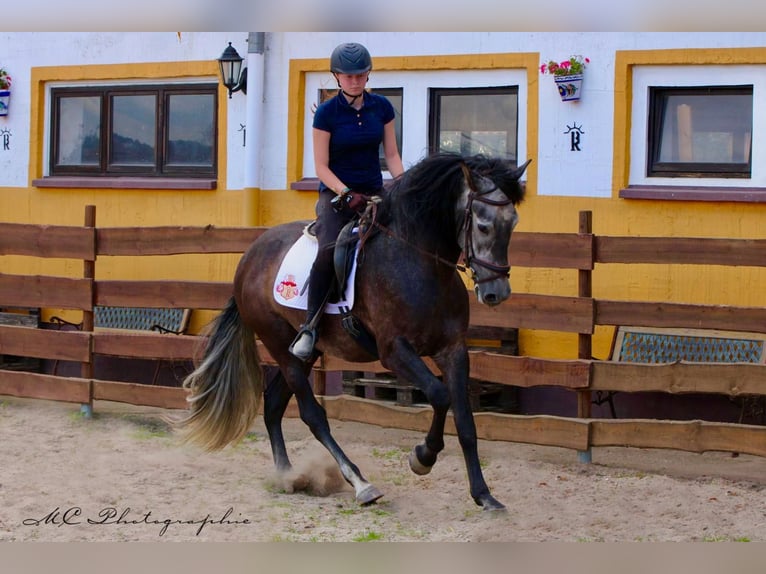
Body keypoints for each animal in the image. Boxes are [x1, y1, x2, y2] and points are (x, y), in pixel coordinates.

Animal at [177, 152, 530, 511]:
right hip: (278, 344)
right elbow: (439, 395)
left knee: (274, 404)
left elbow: (466, 422)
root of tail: (249, 257)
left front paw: (484, 495)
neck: (421, 265)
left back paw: (287, 476)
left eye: (513, 223)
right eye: (483, 225)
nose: (497, 293)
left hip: (305, 352)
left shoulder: (454, 350)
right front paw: (422, 457)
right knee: (312, 414)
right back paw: (360, 483)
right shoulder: (395, 352)